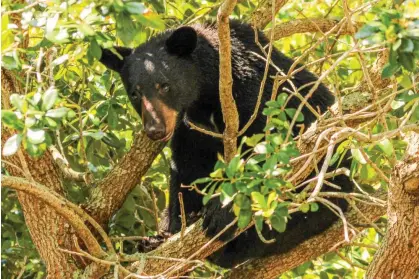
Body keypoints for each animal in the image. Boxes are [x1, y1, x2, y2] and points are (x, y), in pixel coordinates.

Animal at [100, 20, 352, 270]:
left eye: (165, 85)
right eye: (134, 93)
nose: (155, 130)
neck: (208, 93)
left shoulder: (259, 96)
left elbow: (272, 151)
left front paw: (221, 213)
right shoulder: (190, 127)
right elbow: (186, 169)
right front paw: (172, 228)